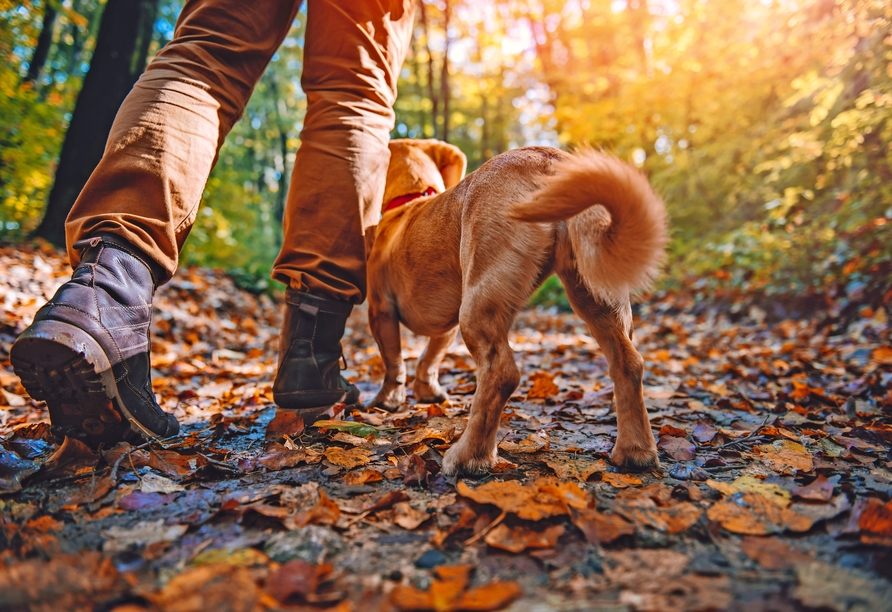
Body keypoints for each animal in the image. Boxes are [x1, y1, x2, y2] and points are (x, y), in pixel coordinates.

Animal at [366, 139, 664, 474]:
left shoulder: (381, 310)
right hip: (596, 295)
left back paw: (469, 456)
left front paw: (387, 399)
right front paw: (427, 391)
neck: (411, 202)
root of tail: (548, 159)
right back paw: (635, 451)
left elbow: (394, 362)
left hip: (478, 303)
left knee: (501, 373)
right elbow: (430, 358)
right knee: (628, 364)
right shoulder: (445, 327)